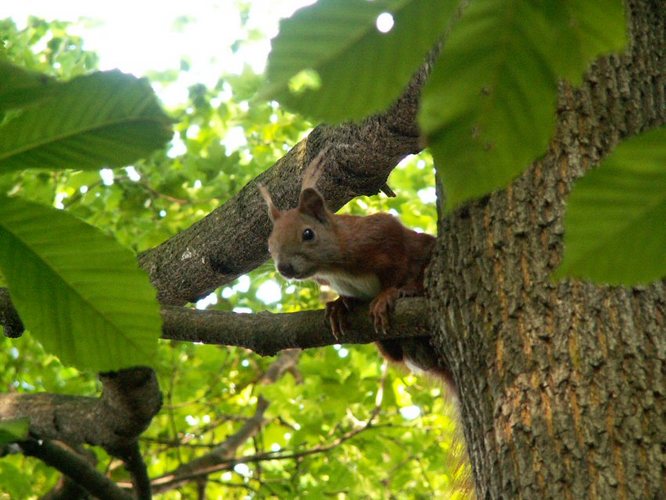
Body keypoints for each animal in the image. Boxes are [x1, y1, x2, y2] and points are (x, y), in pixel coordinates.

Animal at [256, 152, 448, 378]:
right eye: (269, 246)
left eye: (308, 233)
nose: (284, 268)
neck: (334, 270)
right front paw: (339, 305)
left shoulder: (383, 234)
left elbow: (398, 267)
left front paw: (387, 294)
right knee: (395, 353)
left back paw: (411, 290)